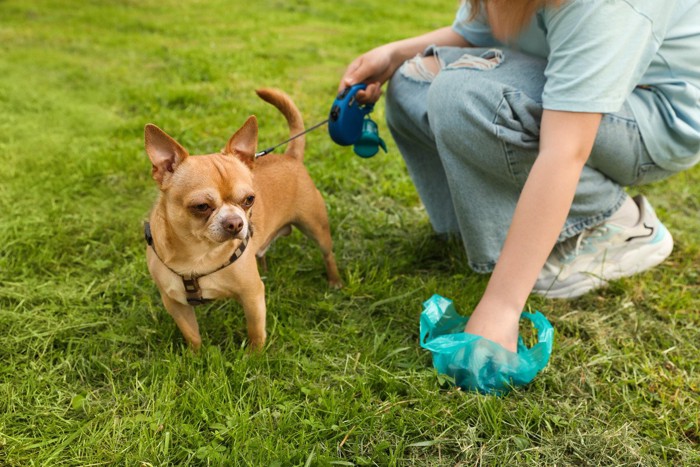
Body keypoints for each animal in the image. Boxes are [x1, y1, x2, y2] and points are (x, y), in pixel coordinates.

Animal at [144, 88, 340, 352]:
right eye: (201, 207)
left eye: (249, 199)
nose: (236, 223)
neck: (199, 255)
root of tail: (291, 157)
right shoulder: (175, 303)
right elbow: (192, 334)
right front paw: (196, 356)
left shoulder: (252, 296)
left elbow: (255, 330)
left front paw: (254, 356)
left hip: (316, 227)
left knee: (327, 254)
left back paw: (334, 281)